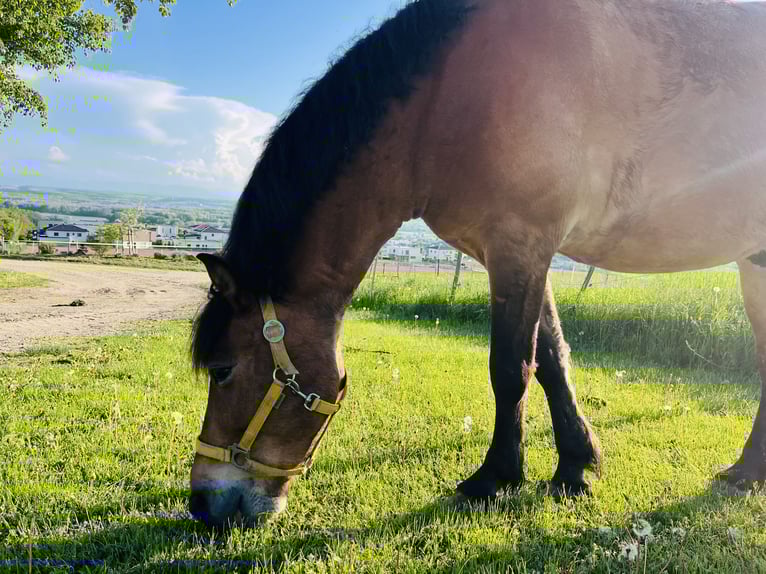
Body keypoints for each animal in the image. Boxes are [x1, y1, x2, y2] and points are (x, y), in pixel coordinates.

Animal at [189, 0, 766, 528]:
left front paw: (496, 477)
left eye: (222, 369)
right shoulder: (519, 254)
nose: (202, 504)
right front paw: (575, 468)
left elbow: (510, 370)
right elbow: (552, 362)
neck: (449, 97)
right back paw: (747, 472)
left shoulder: (520, 244)